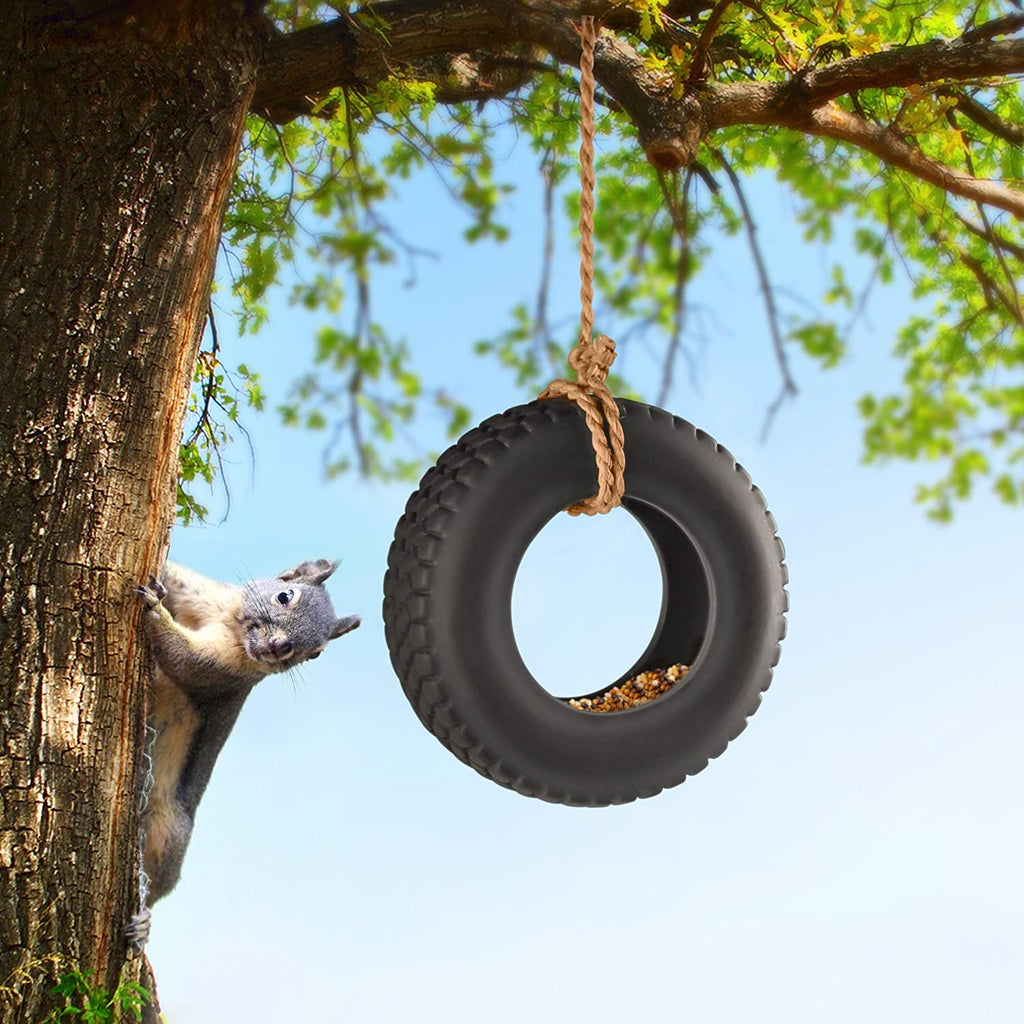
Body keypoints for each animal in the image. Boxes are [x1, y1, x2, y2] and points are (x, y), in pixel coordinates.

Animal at [126, 561, 362, 950]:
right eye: (285, 595)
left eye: (315, 653)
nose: (281, 647)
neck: (231, 622)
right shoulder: (206, 596)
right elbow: (177, 581)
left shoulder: (224, 670)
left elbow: (183, 659)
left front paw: (155, 612)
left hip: (167, 829)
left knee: (157, 885)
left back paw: (143, 923)